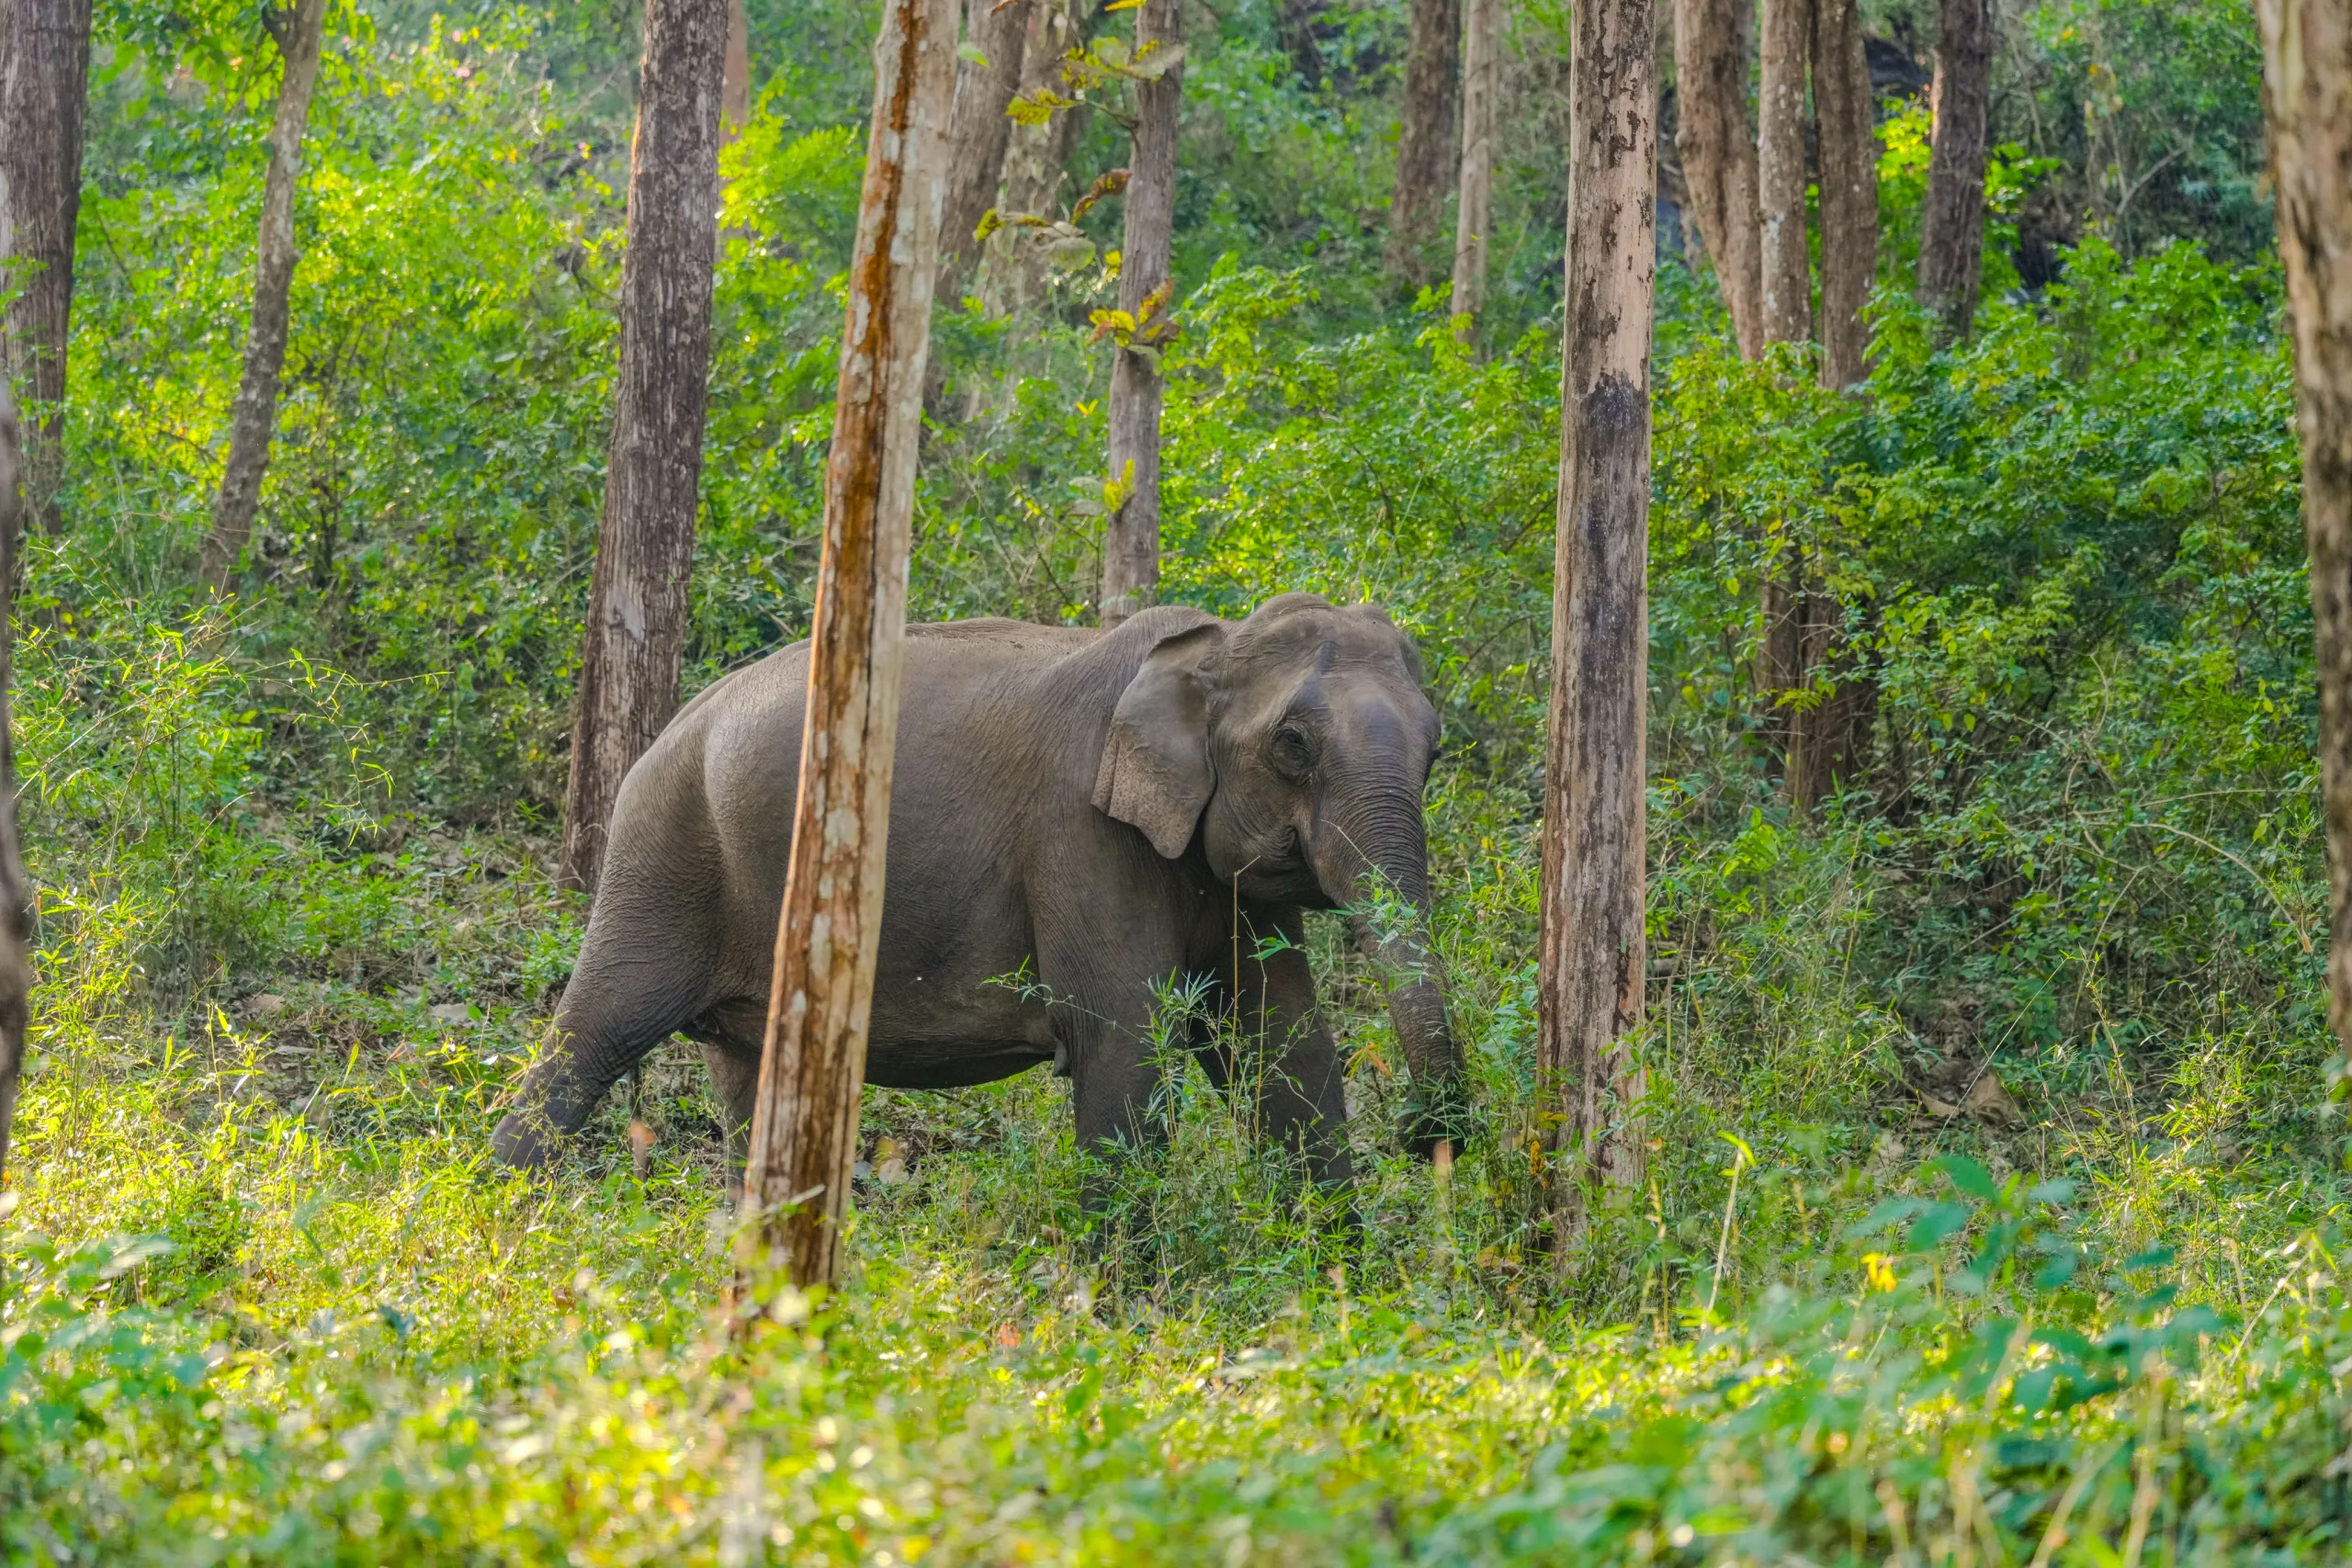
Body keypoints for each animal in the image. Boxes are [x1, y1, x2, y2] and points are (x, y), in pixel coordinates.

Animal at [491, 592, 1466, 1192]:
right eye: (1293, 744)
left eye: (1437, 750)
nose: (1428, 1134)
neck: (1212, 641)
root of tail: (669, 729)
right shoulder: (1081, 837)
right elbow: (1124, 1041)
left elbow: (1287, 1045)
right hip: (661, 856)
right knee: (590, 1037)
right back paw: (510, 1220)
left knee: (746, 1076)